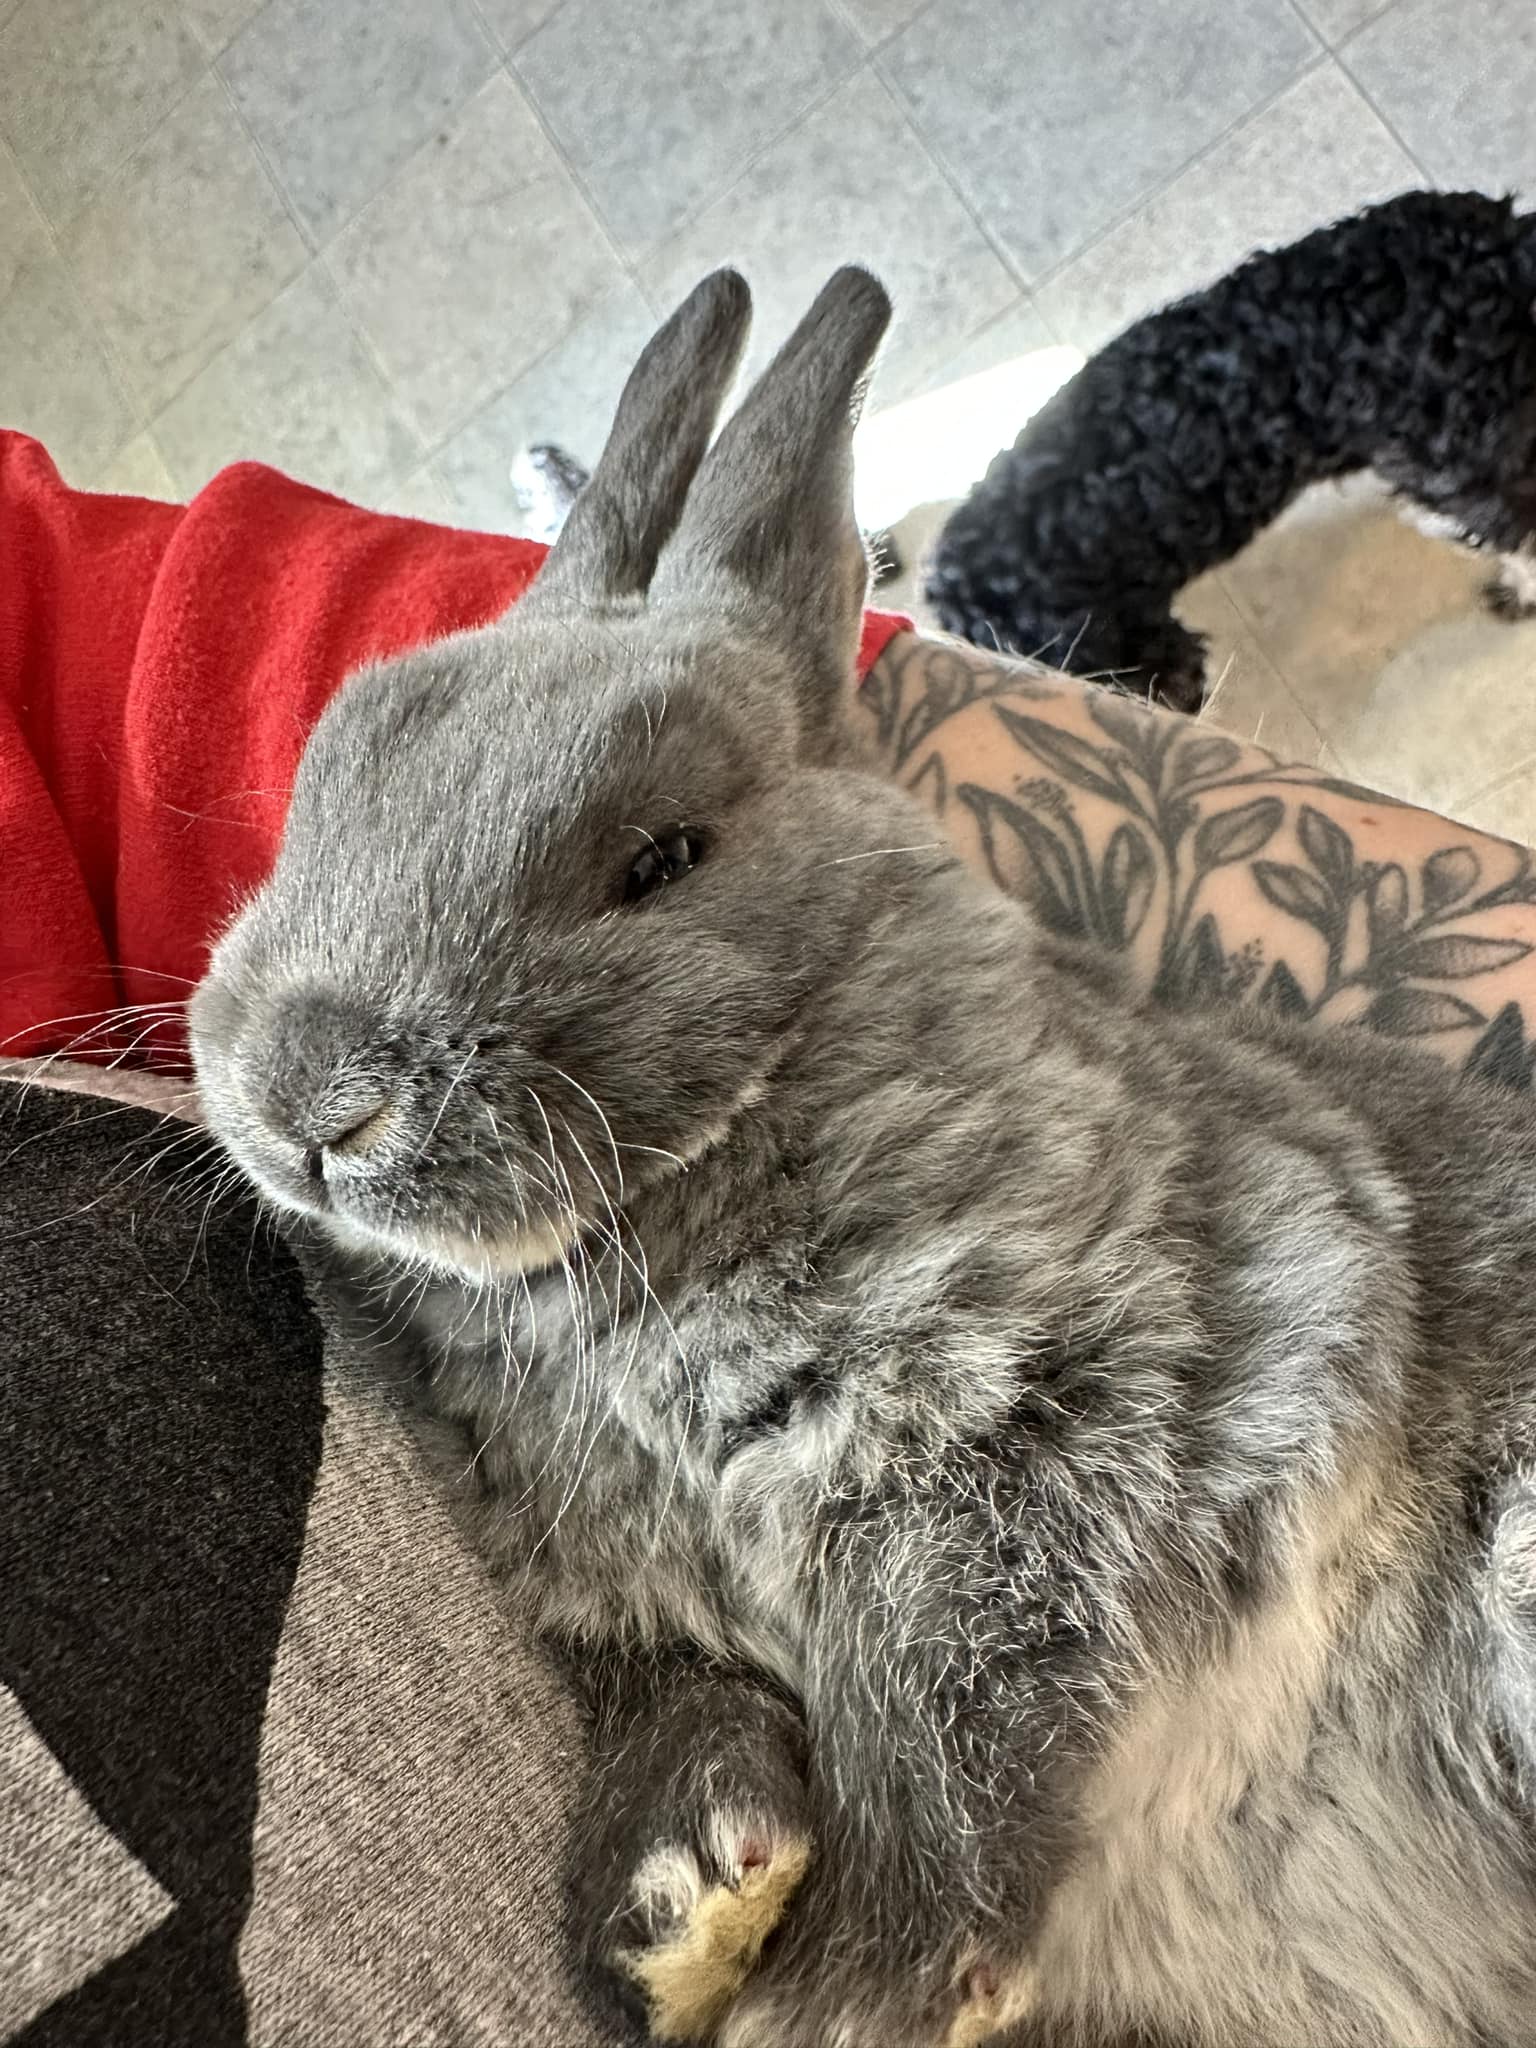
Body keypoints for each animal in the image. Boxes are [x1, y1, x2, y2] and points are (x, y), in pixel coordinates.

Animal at [189, 267, 1536, 2048]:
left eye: (662, 859)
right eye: (319, 794)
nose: (310, 1098)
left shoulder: (1065, 1430)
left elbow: (951, 1733)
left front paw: (839, 1994)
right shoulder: (622, 1595)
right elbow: (688, 1699)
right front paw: (680, 1901)